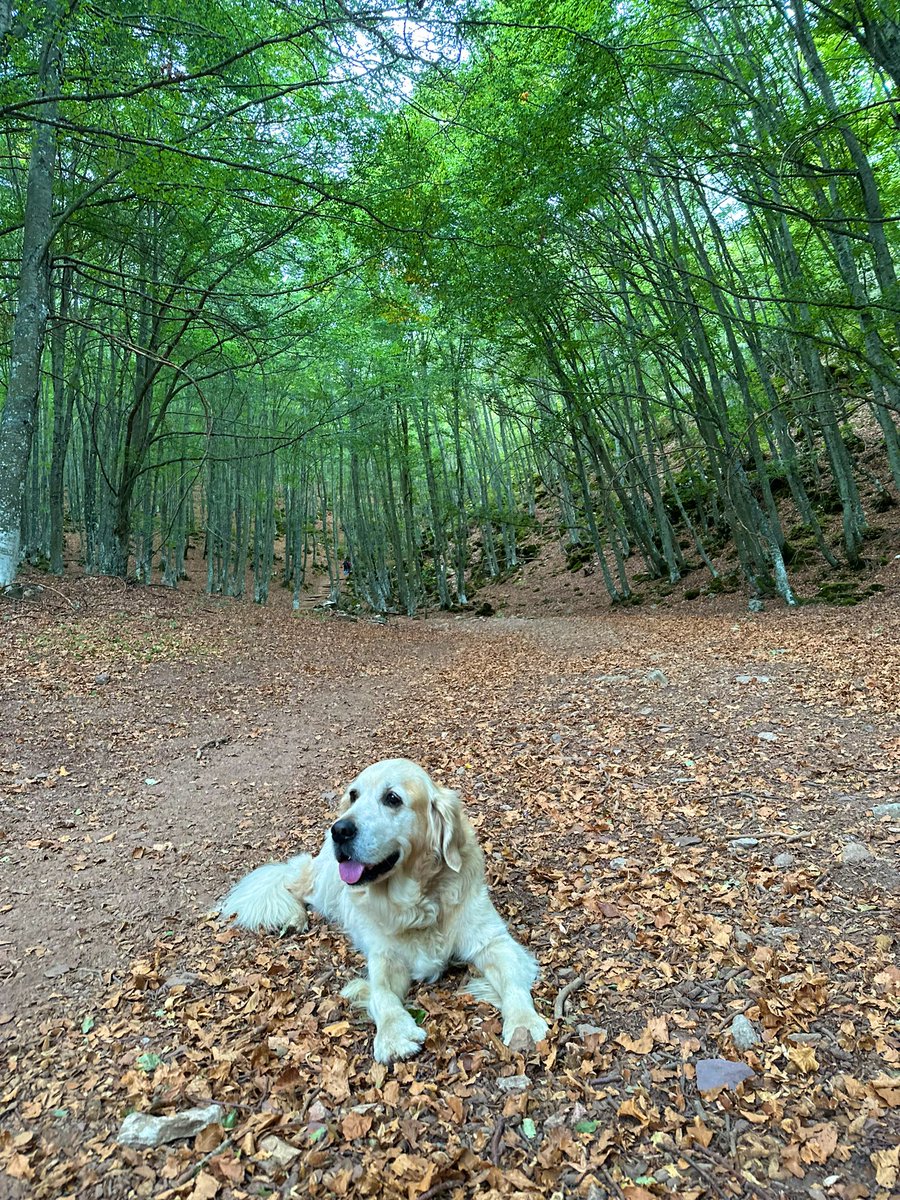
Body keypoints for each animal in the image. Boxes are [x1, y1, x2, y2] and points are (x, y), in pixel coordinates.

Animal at [222, 758, 554, 1060]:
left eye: (392, 798)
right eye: (354, 795)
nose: (339, 830)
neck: (418, 903)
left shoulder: (493, 941)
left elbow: (512, 982)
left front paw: (524, 1023)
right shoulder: (385, 956)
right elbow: (382, 993)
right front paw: (394, 1035)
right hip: (324, 885)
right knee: (293, 882)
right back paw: (293, 916)